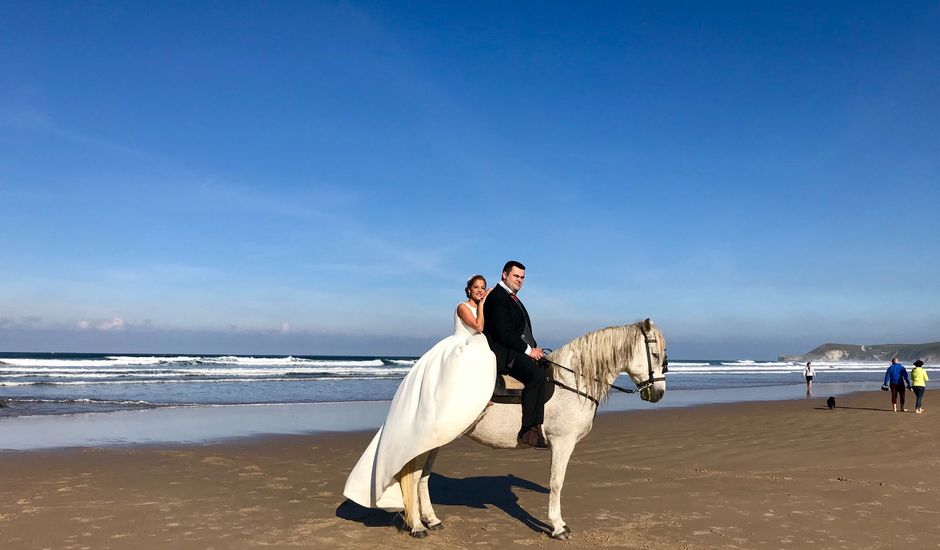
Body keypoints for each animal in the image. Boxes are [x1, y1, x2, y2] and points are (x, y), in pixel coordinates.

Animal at [396, 322, 668, 540]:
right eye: (655, 354)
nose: (658, 393)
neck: (571, 382)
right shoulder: (562, 442)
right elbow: (556, 482)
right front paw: (558, 527)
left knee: (423, 477)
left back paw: (432, 520)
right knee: (414, 476)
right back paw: (418, 526)